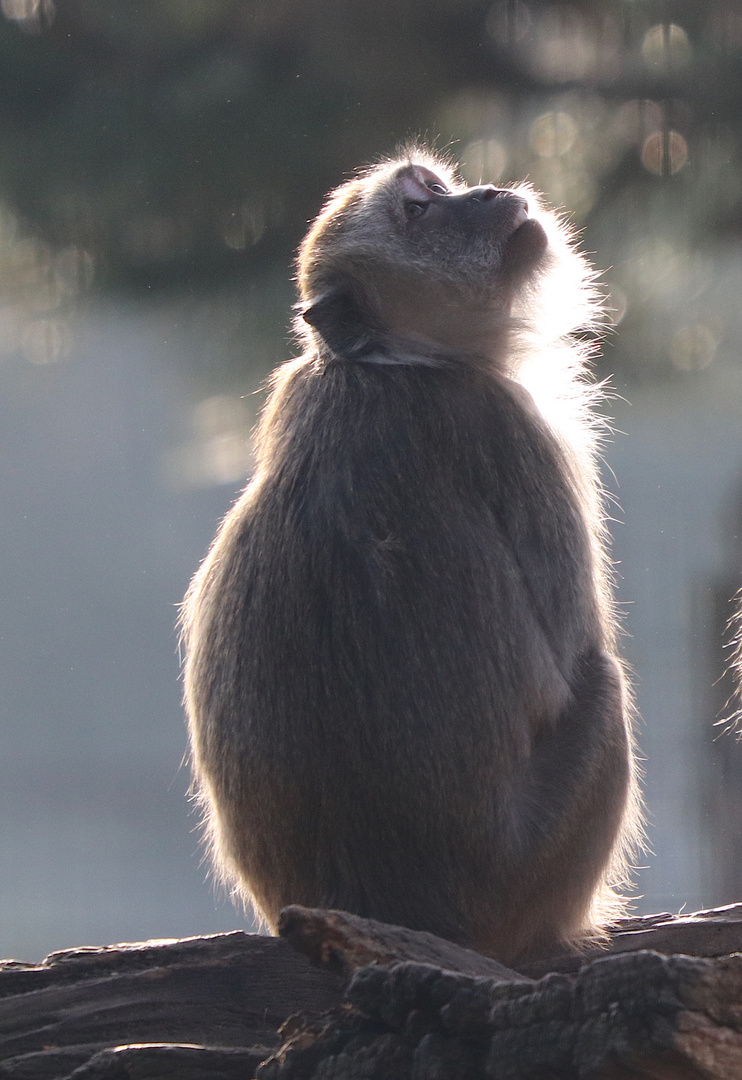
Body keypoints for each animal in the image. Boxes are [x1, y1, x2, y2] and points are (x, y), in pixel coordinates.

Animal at [180, 147, 643, 967]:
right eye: (421, 210)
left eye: (436, 186)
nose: (487, 192)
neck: (397, 361)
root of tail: (407, 908)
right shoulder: (511, 429)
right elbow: (576, 650)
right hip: (530, 873)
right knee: (603, 685)